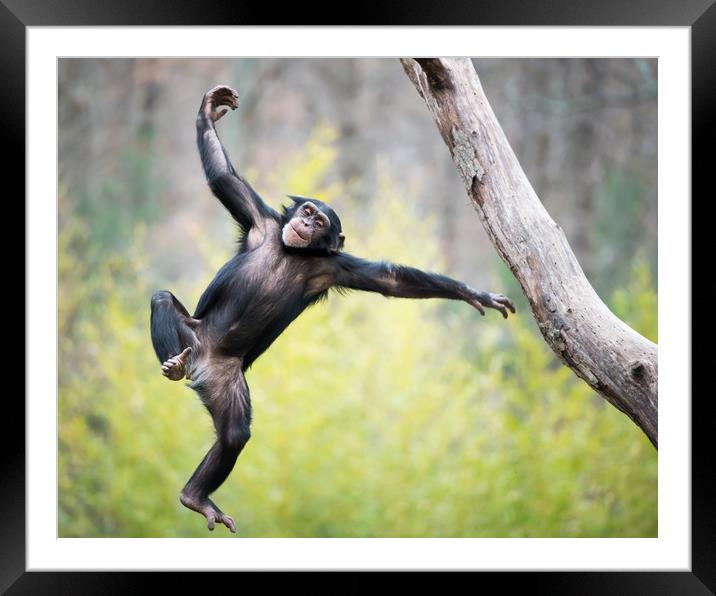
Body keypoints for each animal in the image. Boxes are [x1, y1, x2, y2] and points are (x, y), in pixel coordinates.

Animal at [150, 82, 516, 532]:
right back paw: (172, 367)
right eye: (307, 211)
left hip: (226, 380)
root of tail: (201, 365)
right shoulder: (259, 220)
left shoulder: (334, 267)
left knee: (234, 435)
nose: (307, 222)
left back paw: (195, 496)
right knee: (162, 300)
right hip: (193, 337)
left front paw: (473, 294)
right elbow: (222, 177)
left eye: (321, 223)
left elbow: (392, 280)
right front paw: (209, 109)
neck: (293, 252)